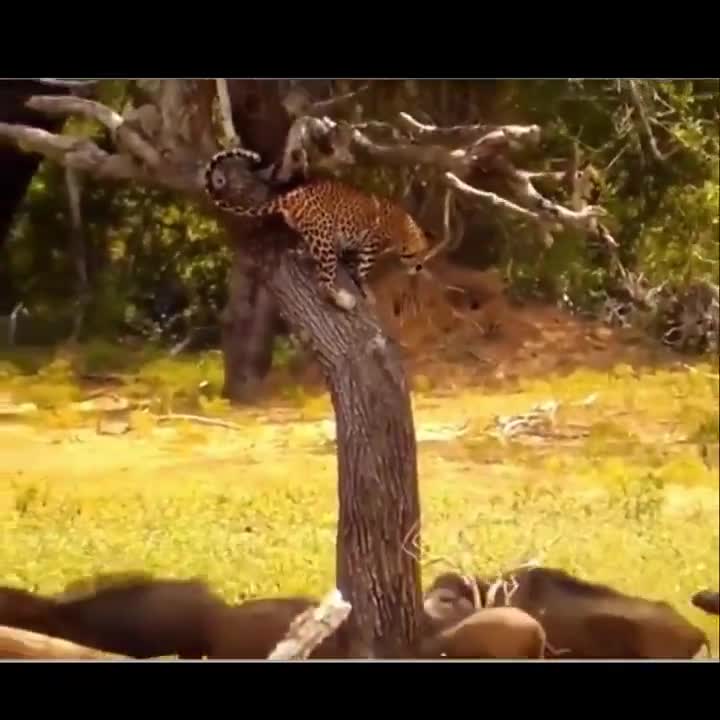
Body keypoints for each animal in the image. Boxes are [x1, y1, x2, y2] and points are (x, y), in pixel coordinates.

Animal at [203, 147, 433, 311]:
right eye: (416, 255)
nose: (419, 267)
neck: (405, 227)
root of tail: (294, 194)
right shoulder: (371, 244)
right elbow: (362, 269)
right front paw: (366, 290)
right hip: (324, 238)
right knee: (323, 285)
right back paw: (344, 300)